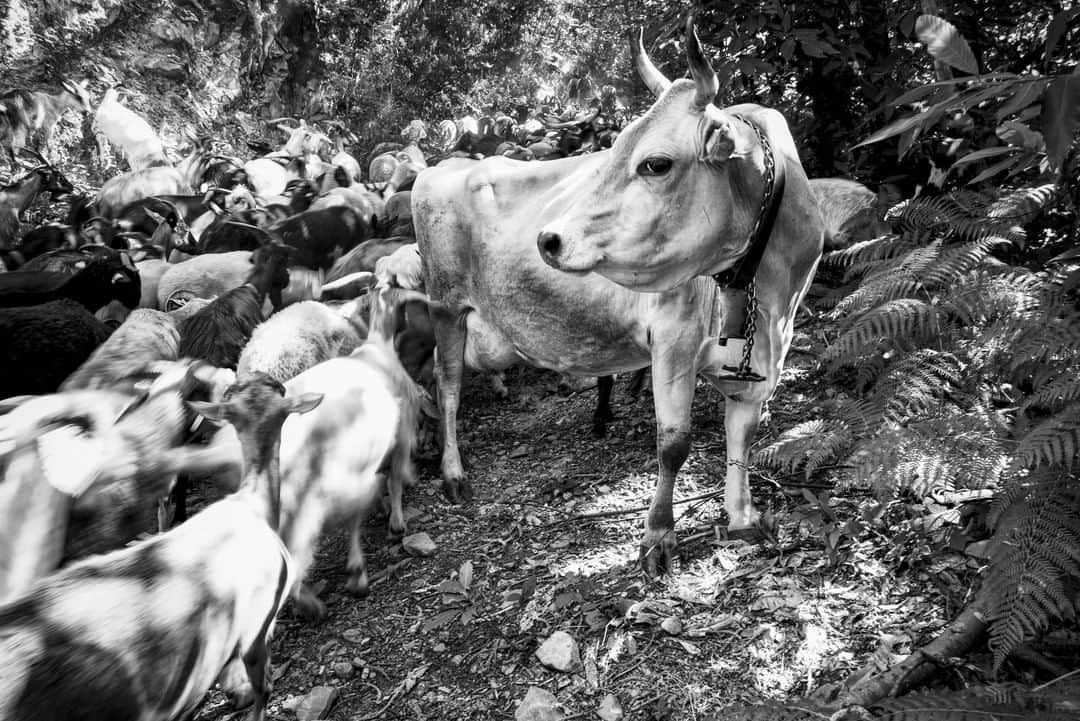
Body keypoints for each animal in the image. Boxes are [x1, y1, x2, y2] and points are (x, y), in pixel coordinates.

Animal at [416, 18, 820, 574]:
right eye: (616, 147)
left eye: (656, 164)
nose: (548, 239)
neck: (764, 283)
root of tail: (446, 165)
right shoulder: (672, 339)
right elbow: (673, 443)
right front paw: (658, 537)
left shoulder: (762, 358)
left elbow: (743, 433)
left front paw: (742, 517)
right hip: (446, 306)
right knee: (448, 387)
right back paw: (453, 471)